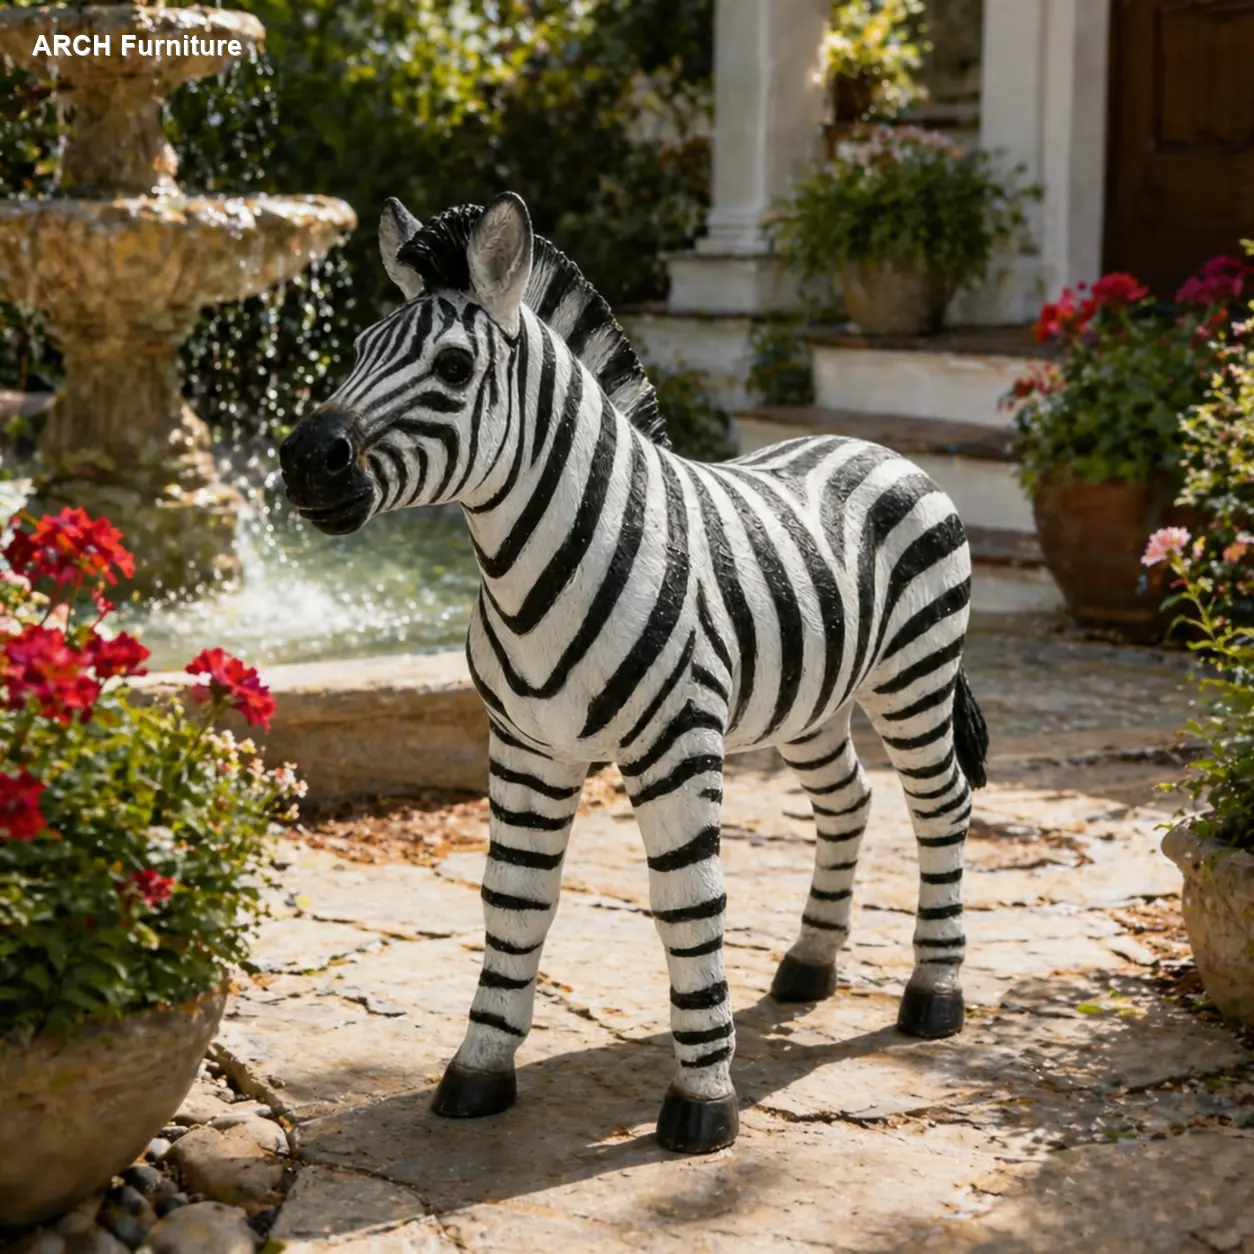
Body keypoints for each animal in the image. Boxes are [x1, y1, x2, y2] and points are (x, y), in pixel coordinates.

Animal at [280, 191, 989, 1156]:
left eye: (456, 367)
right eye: (356, 350)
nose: (302, 459)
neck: (538, 568)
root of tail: (878, 447)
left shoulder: (676, 747)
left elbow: (690, 903)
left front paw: (703, 1098)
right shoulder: (525, 748)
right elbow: (513, 897)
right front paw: (479, 1068)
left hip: (914, 675)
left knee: (941, 806)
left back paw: (935, 995)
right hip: (810, 701)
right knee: (849, 801)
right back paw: (809, 965)